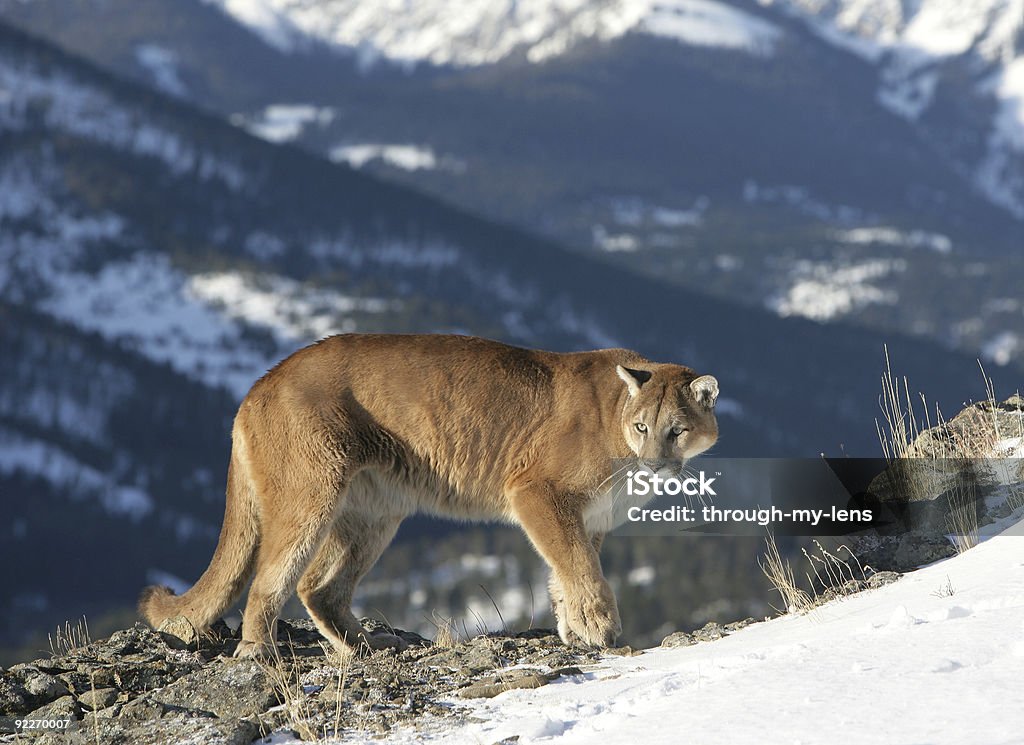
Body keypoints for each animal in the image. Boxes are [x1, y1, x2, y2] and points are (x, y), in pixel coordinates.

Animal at [140, 335, 720, 654]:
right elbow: (579, 566)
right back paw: (261, 655)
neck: (616, 420)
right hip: (310, 494)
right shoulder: (538, 492)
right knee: (269, 580)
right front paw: (601, 628)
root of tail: (261, 382)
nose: (655, 462)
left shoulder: (587, 519)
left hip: (375, 511)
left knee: (318, 585)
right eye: (643, 427)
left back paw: (366, 647)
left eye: (677, 430)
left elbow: (566, 571)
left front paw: (574, 631)